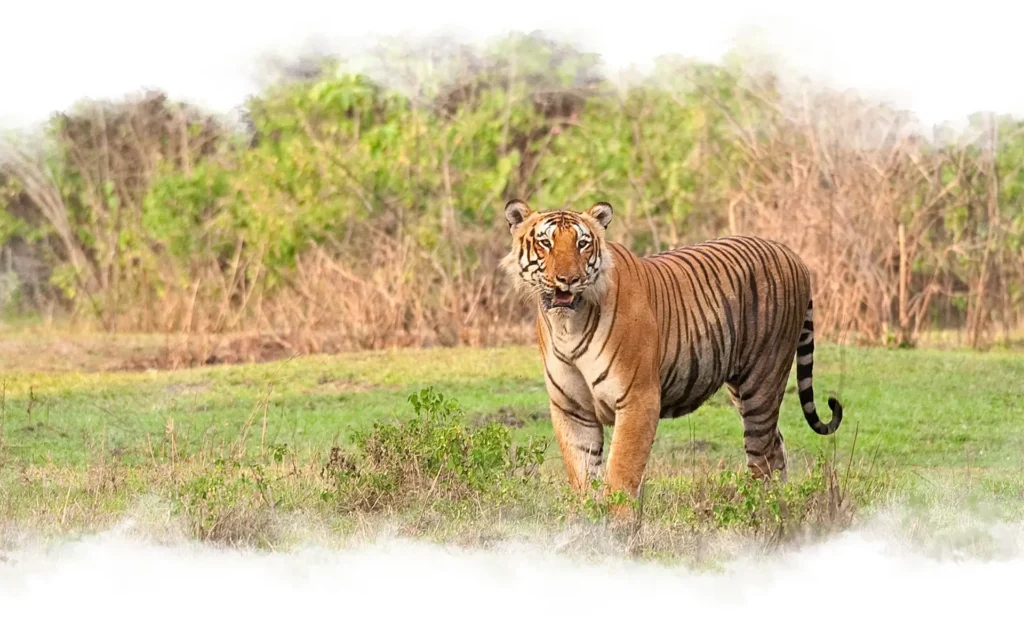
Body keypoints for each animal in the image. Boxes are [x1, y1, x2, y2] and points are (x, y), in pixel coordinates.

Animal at [501, 199, 843, 501]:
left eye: (582, 244)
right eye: (545, 243)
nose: (568, 280)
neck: (568, 326)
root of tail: (792, 255)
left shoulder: (638, 399)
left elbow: (621, 473)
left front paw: (616, 524)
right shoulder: (571, 408)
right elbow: (583, 476)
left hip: (762, 381)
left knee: (763, 457)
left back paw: (764, 510)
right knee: (776, 446)